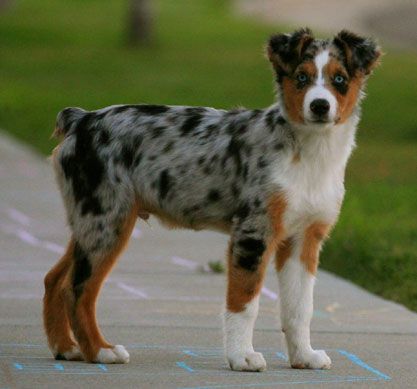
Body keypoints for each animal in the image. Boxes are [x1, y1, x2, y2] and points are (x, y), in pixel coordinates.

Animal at [43, 28, 380, 370]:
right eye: (301, 77)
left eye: (339, 79)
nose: (320, 106)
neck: (310, 154)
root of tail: (83, 120)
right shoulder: (253, 233)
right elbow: (244, 302)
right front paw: (241, 356)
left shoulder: (304, 239)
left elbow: (299, 308)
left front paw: (303, 357)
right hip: (107, 219)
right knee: (78, 288)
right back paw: (100, 351)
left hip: (91, 221)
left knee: (55, 279)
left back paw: (67, 348)